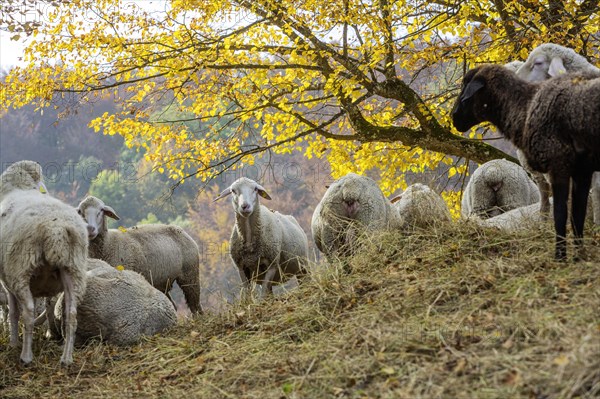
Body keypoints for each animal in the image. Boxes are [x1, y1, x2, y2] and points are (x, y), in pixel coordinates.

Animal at [0, 160, 87, 366]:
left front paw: (13, 343)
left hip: (21, 269)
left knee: (28, 312)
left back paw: (26, 356)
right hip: (73, 270)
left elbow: (13, 313)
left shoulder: (7, 281)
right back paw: (66, 358)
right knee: (71, 314)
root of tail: (55, 229)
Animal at [454, 64, 600, 260]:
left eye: (465, 87)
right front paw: (577, 255)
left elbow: (561, 214)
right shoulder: (580, 172)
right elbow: (576, 214)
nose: (454, 117)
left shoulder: (559, 166)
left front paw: (561, 255)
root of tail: (493, 172)